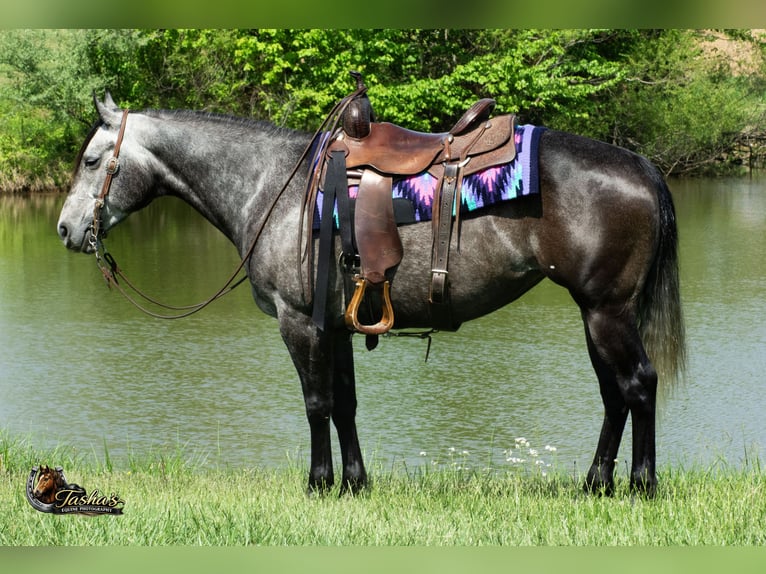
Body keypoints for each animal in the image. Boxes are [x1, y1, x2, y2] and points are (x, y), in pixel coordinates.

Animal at [57, 93, 686, 496]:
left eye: (91, 160)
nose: (65, 229)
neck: (271, 185)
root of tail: (641, 164)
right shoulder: (333, 324)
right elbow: (344, 404)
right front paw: (353, 484)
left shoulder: (298, 321)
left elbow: (316, 403)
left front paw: (317, 484)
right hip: (597, 314)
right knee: (613, 395)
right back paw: (596, 484)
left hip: (607, 313)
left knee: (638, 384)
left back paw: (642, 485)